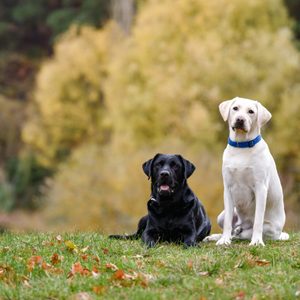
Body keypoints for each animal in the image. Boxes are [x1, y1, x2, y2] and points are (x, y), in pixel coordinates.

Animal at [206, 96, 288, 246]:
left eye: (251, 111)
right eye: (235, 108)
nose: (240, 119)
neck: (241, 147)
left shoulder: (261, 188)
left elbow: (257, 221)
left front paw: (256, 242)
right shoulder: (228, 188)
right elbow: (227, 223)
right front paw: (224, 240)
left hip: (270, 229)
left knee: (245, 232)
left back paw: (240, 233)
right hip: (223, 215)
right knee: (232, 228)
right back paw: (220, 236)